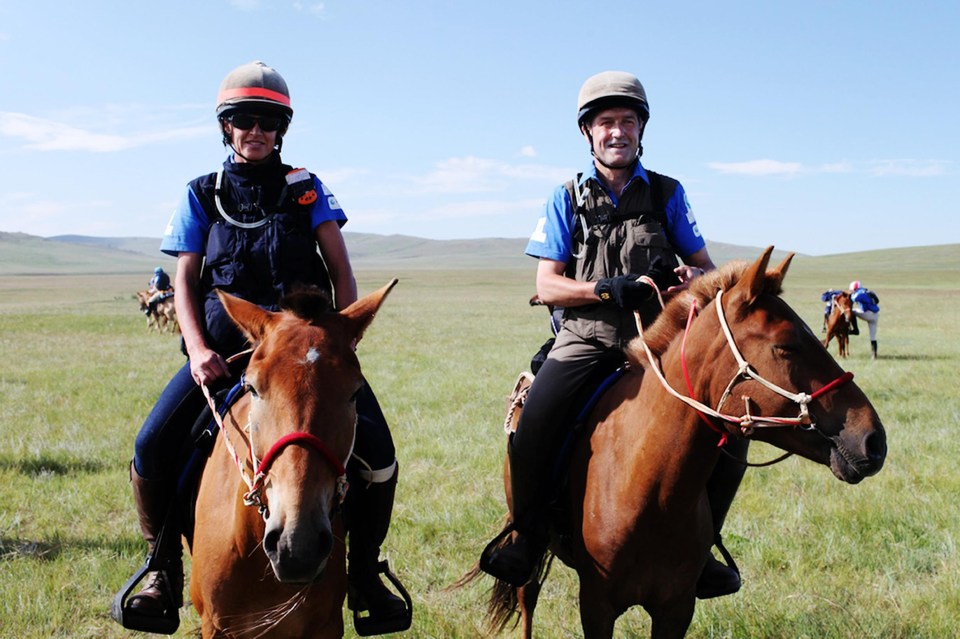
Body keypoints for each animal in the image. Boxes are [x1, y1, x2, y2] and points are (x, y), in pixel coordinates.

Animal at [464, 249, 884, 639]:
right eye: (785, 345)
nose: (874, 441)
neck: (649, 488)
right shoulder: (596, 604)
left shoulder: (676, 609)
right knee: (527, 595)